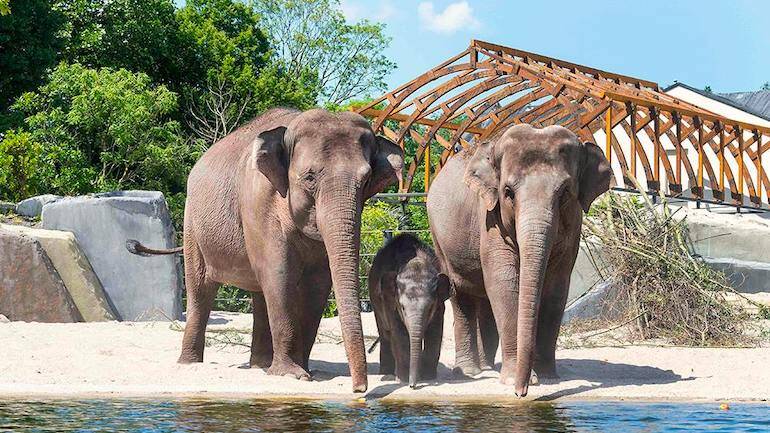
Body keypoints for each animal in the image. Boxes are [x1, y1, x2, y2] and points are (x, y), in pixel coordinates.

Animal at [127, 108, 402, 392]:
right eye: (310, 177)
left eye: (366, 180)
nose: (359, 389)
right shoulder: (259, 201)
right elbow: (278, 274)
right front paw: (292, 374)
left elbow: (317, 282)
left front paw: (304, 370)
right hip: (193, 225)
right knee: (201, 289)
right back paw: (191, 363)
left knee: (259, 293)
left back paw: (260, 365)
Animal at [368, 235, 450, 386]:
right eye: (402, 307)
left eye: (430, 307)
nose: (413, 385)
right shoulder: (389, 302)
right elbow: (399, 334)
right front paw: (403, 379)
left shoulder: (440, 306)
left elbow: (435, 332)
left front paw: (428, 377)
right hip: (375, 300)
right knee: (385, 335)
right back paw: (385, 373)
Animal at [424, 123, 608, 396]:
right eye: (508, 192)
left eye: (565, 192)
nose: (521, 393)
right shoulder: (490, 218)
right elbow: (504, 282)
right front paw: (513, 380)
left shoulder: (574, 225)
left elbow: (556, 288)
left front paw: (548, 377)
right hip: (439, 238)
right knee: (461, 293)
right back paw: (470, 371)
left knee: (485, 300)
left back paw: (488, 366)